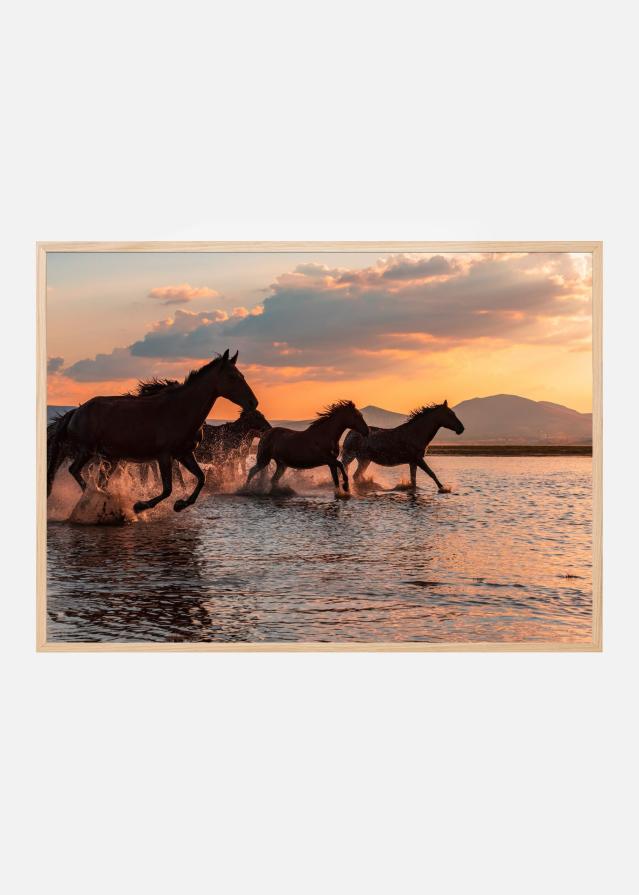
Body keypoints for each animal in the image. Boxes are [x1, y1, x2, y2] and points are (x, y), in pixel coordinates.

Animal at [47, 350, 258, 514]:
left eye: (243, 376)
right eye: (232, 377)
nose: (253, 402)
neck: (180, 410)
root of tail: (76, 412)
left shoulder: (184, 454)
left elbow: (201, 478)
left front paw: (180, 504)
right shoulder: (164, 456)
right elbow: (167, 489)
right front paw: (140, 506)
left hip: (110, 458)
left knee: (100, 480)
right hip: (87, 451)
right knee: (75, 471)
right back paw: (95, 497)